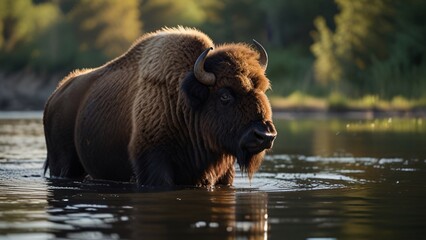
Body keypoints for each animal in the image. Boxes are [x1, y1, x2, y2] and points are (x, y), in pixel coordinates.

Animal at [43, 26, 276, 188]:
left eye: (263, 89)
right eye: (225, 95)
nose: (265, 135)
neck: (184, 100)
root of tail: (55, 95)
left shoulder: (223, 171)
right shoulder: (153, 163)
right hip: (63, 165)